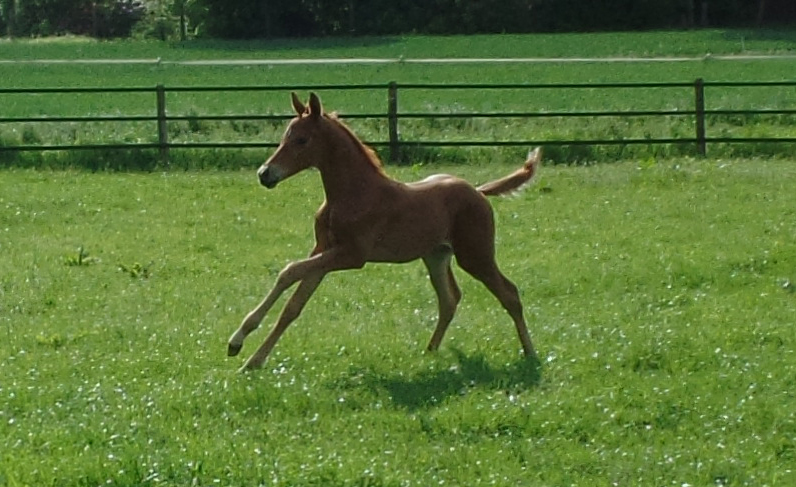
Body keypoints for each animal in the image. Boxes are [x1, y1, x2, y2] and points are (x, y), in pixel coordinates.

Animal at [227, 94, 544, 370]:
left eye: (302, 139)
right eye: (285, 136)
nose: (265, 174)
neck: (354, 193)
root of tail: (478, 192)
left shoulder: (351, 255)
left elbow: (289, 271)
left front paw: (239, 340)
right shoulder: (324, 251)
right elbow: (293, 305)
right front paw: (247, 356)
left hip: (475, 256)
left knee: (509, 293)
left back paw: (530, 353)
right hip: (436, 256)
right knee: (449, 299)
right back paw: (430, 351)